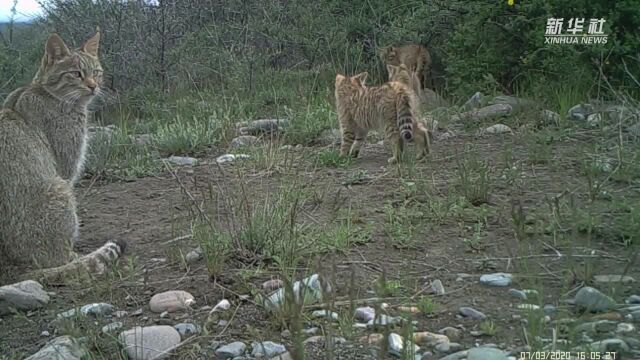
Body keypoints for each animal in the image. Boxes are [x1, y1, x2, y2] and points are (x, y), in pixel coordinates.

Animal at [0, 29, 124, 286]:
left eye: (96, 72)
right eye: (76, 74)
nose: (93, 86)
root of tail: (8, 268)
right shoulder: (66, 170)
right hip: (59, 189)